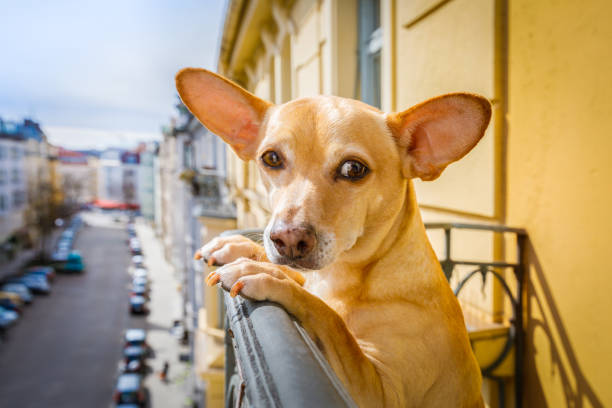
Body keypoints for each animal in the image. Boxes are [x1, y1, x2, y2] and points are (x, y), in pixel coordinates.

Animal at [177, 68, 492, 406]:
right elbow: (304, 285)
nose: (288, 239)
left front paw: (274, 279)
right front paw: (243, 248)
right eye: (271, 158)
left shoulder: (382, 392)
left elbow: (331, 320)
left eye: (354, 169)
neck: (347, 277)